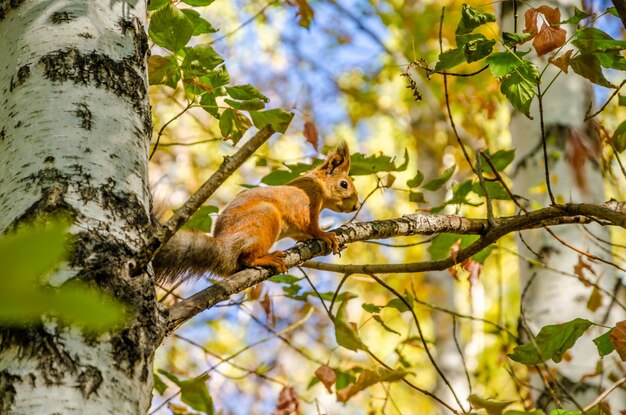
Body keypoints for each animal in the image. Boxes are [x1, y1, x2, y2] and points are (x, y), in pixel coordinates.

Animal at [152, 140, 360, 286]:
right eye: (344, 184)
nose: (357, 206)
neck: (317, 187)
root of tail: (224, 248)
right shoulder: (302, 203)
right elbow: (309, 225)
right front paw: (325, 235)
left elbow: (300, 234)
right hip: (264, 219)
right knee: (248, 258)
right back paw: (267, 258)